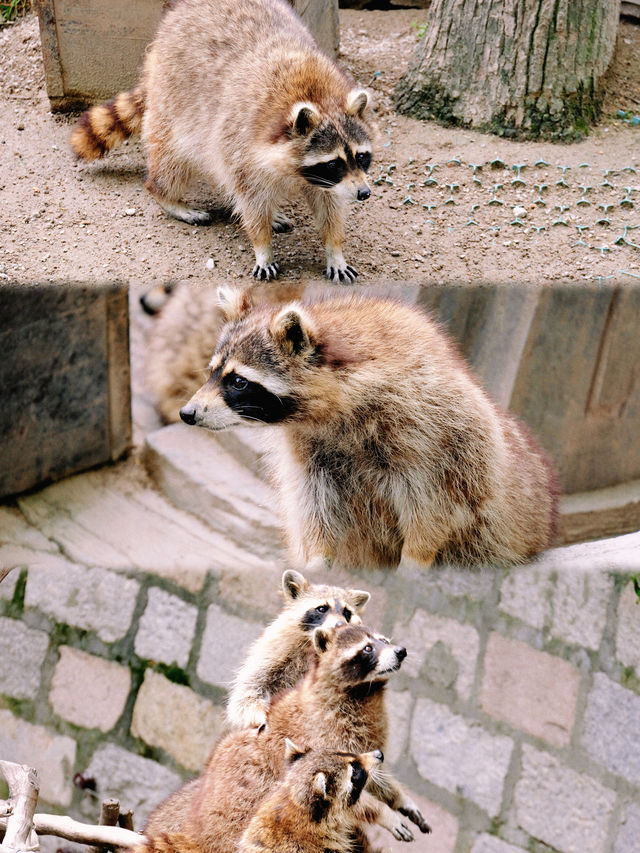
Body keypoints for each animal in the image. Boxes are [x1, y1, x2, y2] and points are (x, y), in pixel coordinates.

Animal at [69, 0, 376, 282]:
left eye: (362, 157)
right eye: (334, 163)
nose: (364, 193)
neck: (318, 97)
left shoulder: (324, 178)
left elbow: (329, 206)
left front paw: (334, 249)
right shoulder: (243, 143)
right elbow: (251, 198)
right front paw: (262, 247)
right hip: (174, 99)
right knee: (172, 161)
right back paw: (166, 195)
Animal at [178, 282, 556, 568]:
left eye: (238, 382)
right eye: (212, 372)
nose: (187, 413)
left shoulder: (434, 426)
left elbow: (438, 500)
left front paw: (416, 556)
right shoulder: (308, 448)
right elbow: (314, 502)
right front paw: (318, 558)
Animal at [228, 568, 370, 728]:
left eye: (347, 613)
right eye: (322, 608)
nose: (341, 626)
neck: (312, 643)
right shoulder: (273, 651)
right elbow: (250, 686)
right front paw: (256, 713)